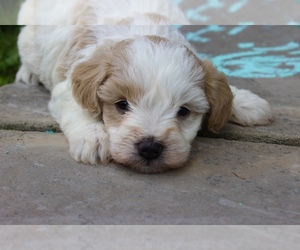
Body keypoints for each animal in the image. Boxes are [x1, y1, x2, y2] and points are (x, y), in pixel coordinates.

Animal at [16, 0, 274, 173]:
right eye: (121, 105)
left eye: (183, 111)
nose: (150, 148)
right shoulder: (68, 84)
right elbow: (78, 108)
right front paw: (93, 139)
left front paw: (247, 103)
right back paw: (27, 73)